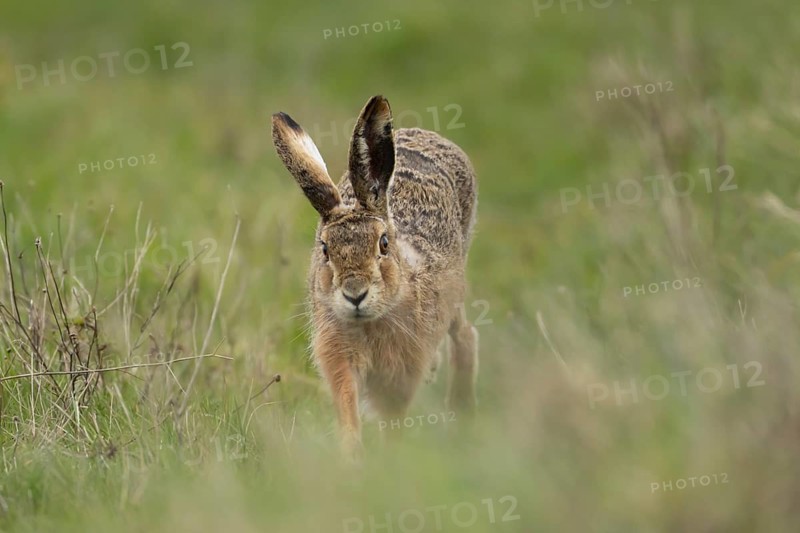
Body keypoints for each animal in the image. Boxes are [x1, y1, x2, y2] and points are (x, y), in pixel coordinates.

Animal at [271, 95, 478, 457]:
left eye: (383, 243)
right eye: (325, 249)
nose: (355, 293)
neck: (370, 321)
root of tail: (425, 135)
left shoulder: (403, 369)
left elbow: (394, 416)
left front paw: (389, 459)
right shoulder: (339, 355)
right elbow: (348, 402)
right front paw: (352, 456)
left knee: (465, 335)